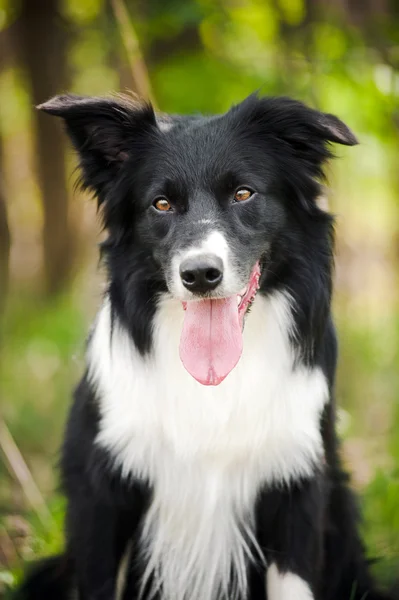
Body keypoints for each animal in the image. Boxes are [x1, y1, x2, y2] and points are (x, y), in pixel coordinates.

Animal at [14, 92, 396, 600]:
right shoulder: (102, 496)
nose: (200, 275)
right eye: (160, 204)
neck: (215, 382)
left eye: (243, 194)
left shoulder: (296, 490)